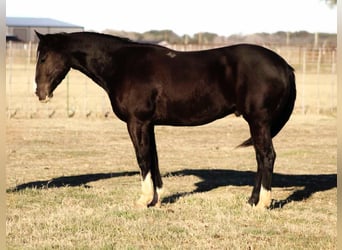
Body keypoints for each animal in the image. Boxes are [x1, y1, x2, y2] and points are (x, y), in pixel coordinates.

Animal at [35, 31, 296, 208]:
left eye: (44, 57)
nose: (40, 93)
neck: (122, 65)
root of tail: (284, 65)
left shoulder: (137, 122)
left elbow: (142, 158)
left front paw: (143, 200)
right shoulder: (149, 124)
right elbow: (153, 158)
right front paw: (157, 198)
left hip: (258, 122)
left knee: (267, 156)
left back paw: (262, 203)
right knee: (260, 158)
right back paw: (252, 200)